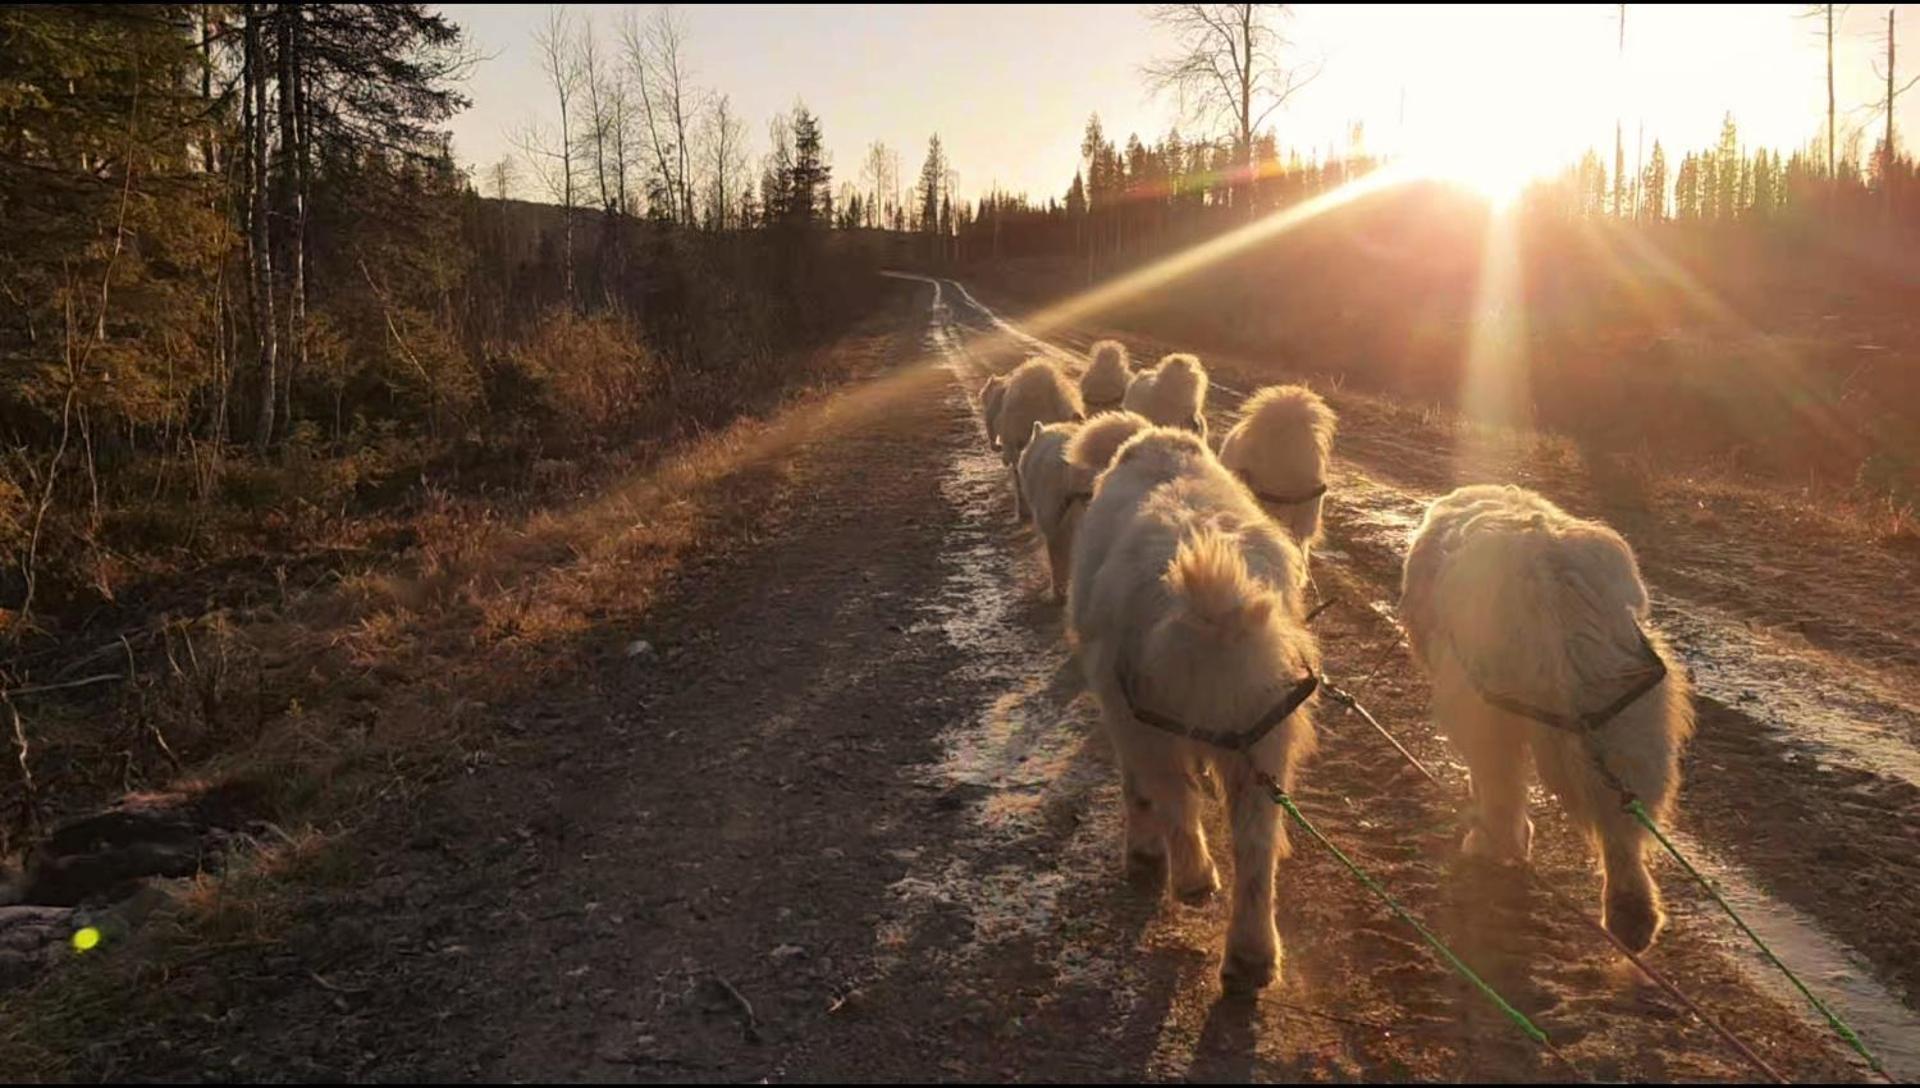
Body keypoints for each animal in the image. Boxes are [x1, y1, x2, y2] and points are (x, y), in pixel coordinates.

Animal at [1067, 429, 1320, 990]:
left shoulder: (1120, 709)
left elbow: (1142, 788)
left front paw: (1145, 857)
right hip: (1262, 739)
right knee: (1256, 845)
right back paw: (1251, 957)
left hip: (1144, 719)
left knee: (1170, 796)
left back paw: (1189, 878)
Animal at [1397, 487, 1697, 951]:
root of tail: (1546, 581)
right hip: (1626, 717)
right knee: (1623, 828)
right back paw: (1632, 918)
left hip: (1487, 710)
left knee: (1502, 795)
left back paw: (1492, 845)